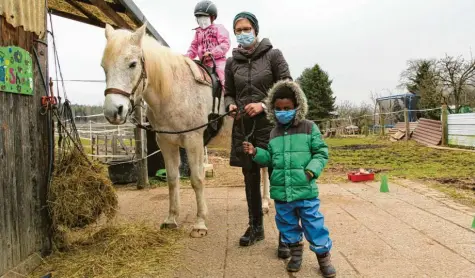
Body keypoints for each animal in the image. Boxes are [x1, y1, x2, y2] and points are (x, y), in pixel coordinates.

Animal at [100, 23, 272, 237]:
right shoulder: (166, 143)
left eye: (132, 64)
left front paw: (200, 224)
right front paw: (171, 219)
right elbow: (172, 179)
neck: (174, 91)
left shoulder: (194, 141)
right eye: (104, 67)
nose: (113, 111)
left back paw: (265, 204)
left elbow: (197, 180)